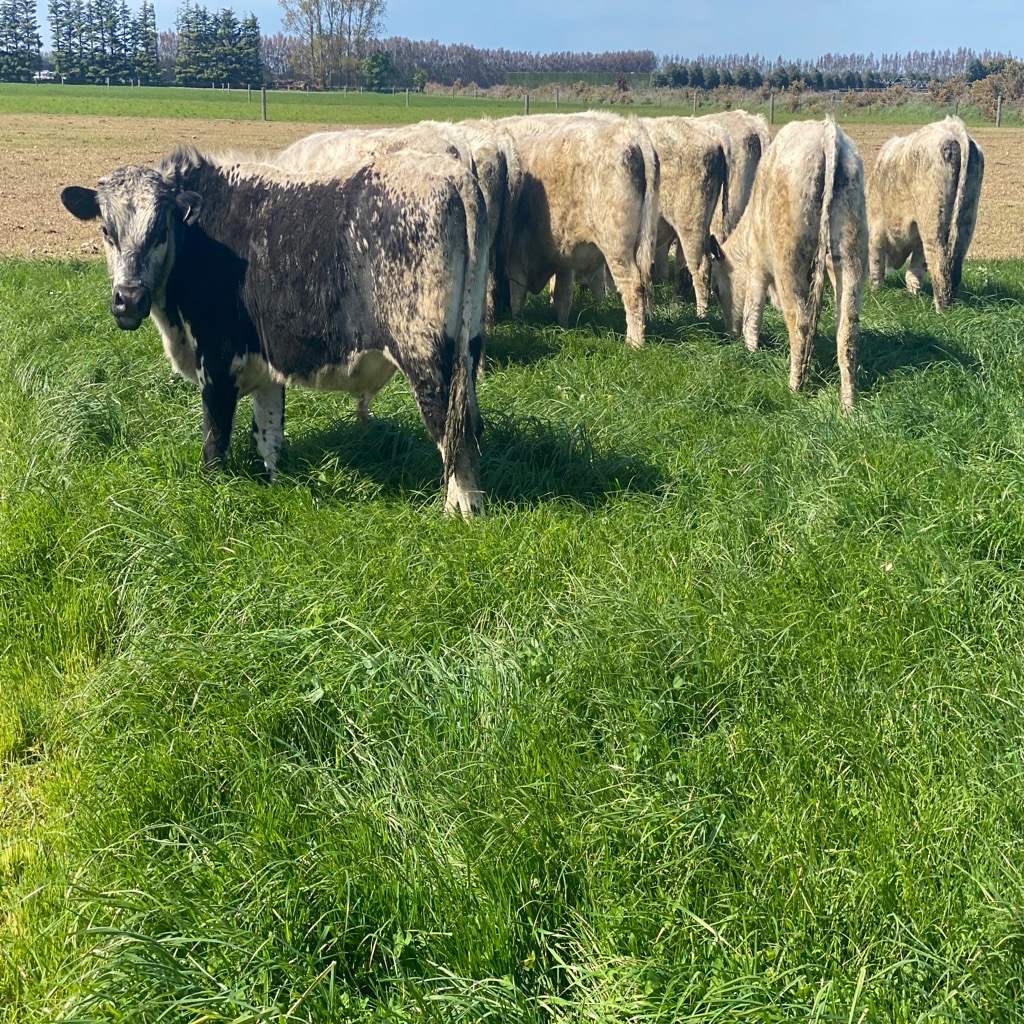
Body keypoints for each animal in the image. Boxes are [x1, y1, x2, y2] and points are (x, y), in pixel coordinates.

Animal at [60, 144, 490, 516]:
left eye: (159, 231)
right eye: (106, 230)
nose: (128, 300)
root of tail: (450, 172)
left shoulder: (216, 360)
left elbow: (215, 438)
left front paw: (212, 490)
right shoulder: (265, 365)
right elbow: (268, 434)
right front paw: (275, 485)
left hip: (427, 359)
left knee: (452, 435)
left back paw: (460, 512)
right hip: (467, 350)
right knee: (471, 428)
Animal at [499, 112, 659, 348]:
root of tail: (630, 130)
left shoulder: (517, 254)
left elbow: (517, 292)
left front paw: (516, 322)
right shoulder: (564, 254)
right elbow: (562, 294)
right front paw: (562, 327)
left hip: (617, 246)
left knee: (633, 287)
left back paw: (634, 342)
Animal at [708, 117, 868, 412]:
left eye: (715, 288)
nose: (727, 334)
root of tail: (827, 132)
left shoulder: (757, 268)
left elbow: (752, 313)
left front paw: (749, 350)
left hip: (789, 261)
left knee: (800, 320)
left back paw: (795, 385)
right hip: (851, 256)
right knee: (848, 330)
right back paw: (847, 403)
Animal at [866, 115, 984, 312]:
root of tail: (953, 128)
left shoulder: (876, 228)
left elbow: (876, 261)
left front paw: (875, 291)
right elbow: (915, 269)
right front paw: (914, 295)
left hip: (933, 221)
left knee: (939, 264)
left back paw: (940, 310)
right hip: (966, 220)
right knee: (954, 263)